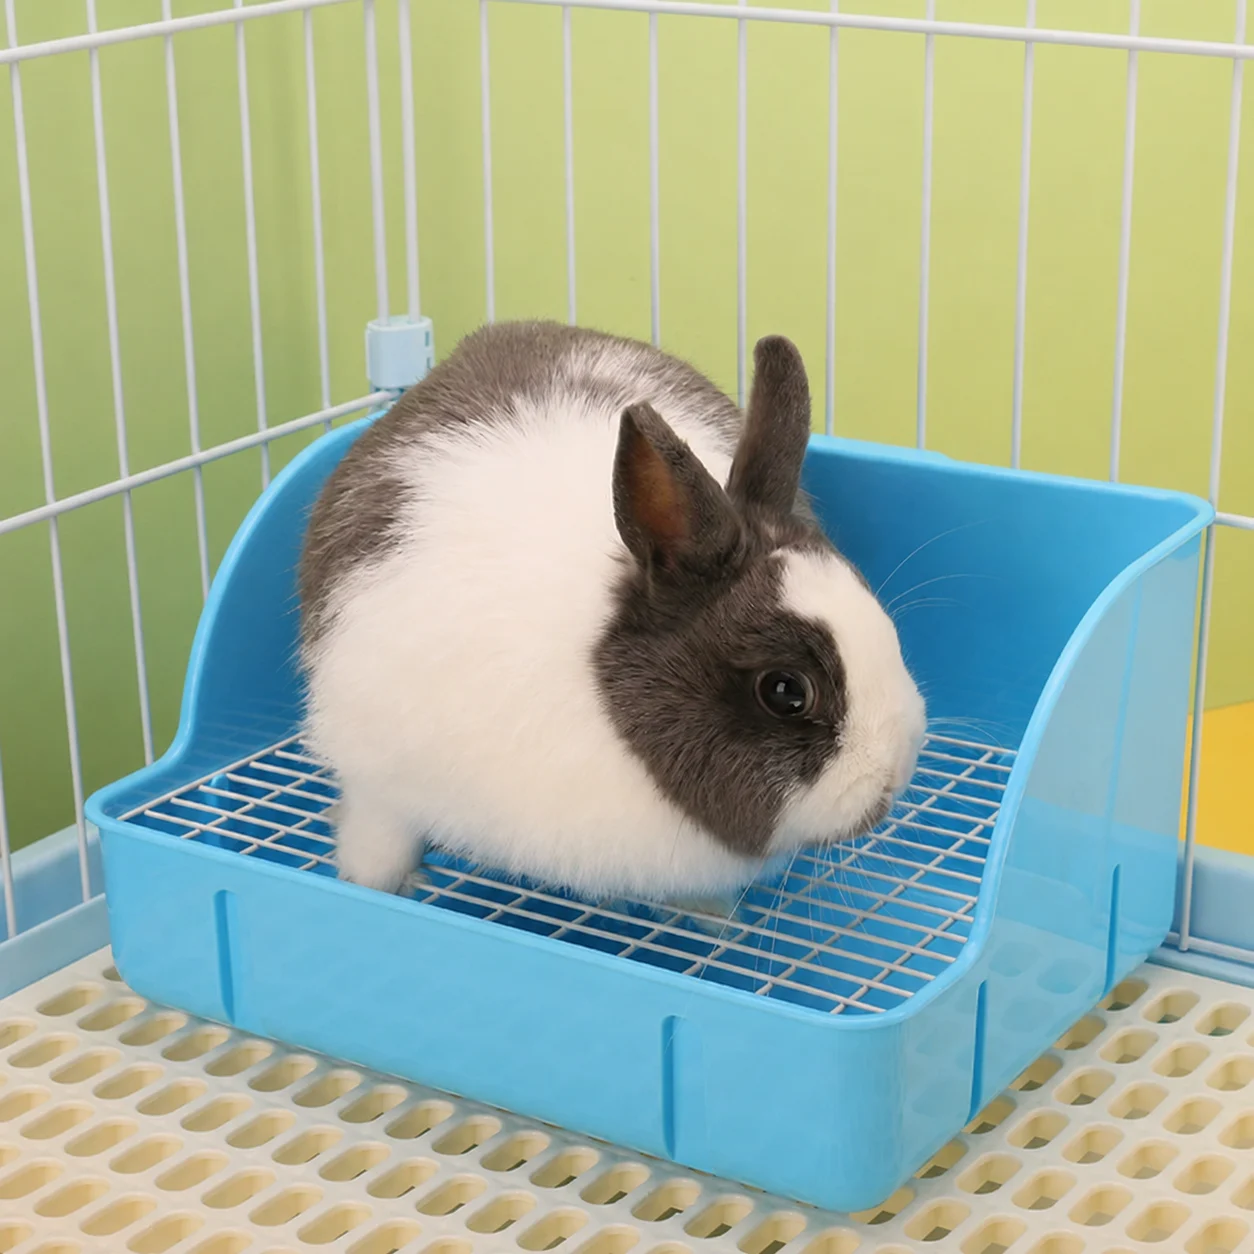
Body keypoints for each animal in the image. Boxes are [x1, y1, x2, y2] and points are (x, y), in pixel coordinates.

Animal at [298, 321, 926, 906]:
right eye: (786, 691)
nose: (896, 770)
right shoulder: (376, 780)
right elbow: (378, 841)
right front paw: (378, 885)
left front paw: (710, 914)